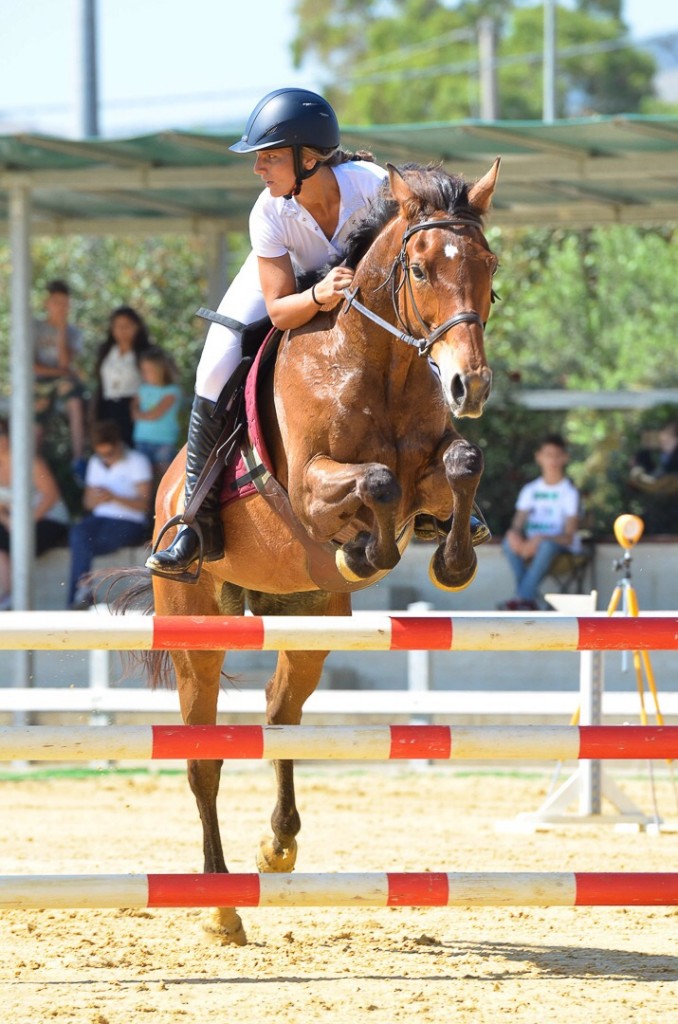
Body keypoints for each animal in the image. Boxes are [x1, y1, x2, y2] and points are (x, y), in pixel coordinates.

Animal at [124, 157, 501, 942]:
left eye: (488, 265)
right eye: (420, 268)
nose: (469, 385)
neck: (379, 361)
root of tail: (167, 493)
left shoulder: (435, 465)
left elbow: (461, 463)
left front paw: (452, 560)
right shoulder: (307, 485)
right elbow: (378, 481)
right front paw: (366, 550)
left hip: (309, 620)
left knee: (279, 717)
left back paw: (278, 845)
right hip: (197, 628)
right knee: (203, 759)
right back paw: (223, 908)